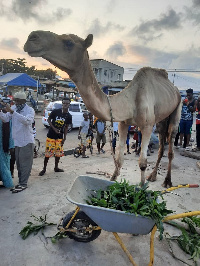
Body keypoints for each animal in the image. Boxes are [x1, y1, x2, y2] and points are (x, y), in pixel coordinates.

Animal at [24, 31, 182, 187]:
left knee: (170, 144)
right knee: (161, 144)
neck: (130, 100)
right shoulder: (124, 123)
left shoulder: (147, 126)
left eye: (69, 42)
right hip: (161, 118)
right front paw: (112, 181)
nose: (32, 37)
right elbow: (119, 159)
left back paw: (167, 181)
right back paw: (153, 176)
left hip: (177, 108)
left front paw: (142, 187)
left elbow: (142, 163)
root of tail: (175, 89)